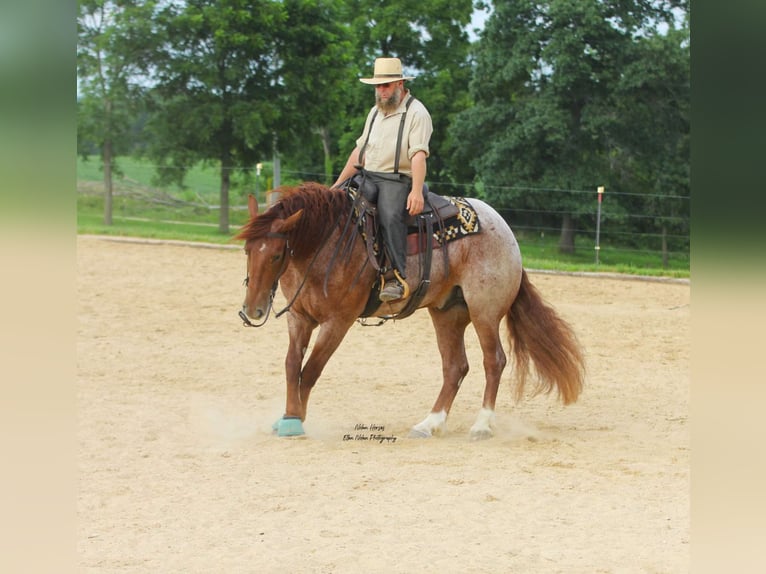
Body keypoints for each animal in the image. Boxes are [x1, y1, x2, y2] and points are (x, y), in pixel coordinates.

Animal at [237, 182, 584, 444]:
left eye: (277, 254)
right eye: (247, 250)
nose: (252, 310)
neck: (325, 242)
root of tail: (506, 233)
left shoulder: (338, 321)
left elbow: (310, 370)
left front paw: (296, 421)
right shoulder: (299, 318)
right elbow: (291, 365)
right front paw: (288, 415)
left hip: (484, 312)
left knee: (494, 361)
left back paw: (482, 425)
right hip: (447, 313)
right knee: (455, 367)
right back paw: (430, 424)